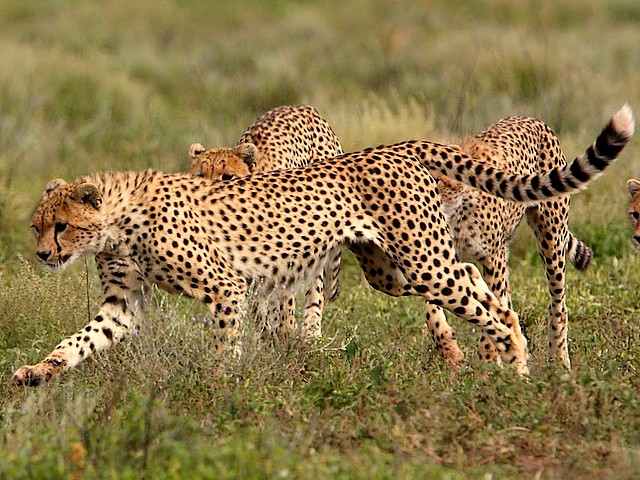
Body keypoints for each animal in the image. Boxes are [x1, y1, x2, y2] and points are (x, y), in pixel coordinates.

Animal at [189, 105, 344, 339]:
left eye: (227, 177)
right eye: (200, 175)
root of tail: (305, 107)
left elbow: (285, 298)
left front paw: (286, 331)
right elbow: (255, 303)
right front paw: (265, 332)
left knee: (315, 284)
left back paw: (310, 332)